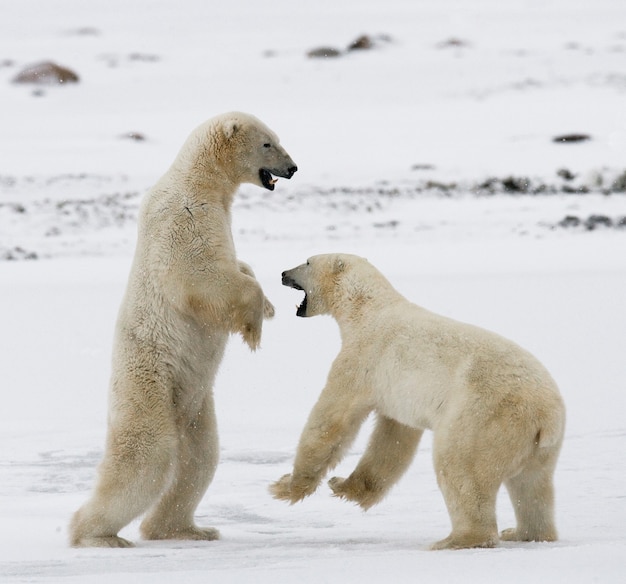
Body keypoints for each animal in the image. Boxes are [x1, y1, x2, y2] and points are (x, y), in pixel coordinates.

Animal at [72, 113, 296, 548]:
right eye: (268, 144)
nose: (293, 168)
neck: (197, 178)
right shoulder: (185, 215)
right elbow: (200, 273)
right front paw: (254, 325)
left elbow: (238, 266)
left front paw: (269, 305)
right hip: (151, 381)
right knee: (147, 454)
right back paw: (97, 535)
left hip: (193, 400)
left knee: (200, 456)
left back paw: (186, 528)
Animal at [270, 253, 564, 548]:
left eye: (307, 262)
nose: (283, 273)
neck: (365, 308)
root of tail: (546, 416)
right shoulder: (395, 392)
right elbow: (394, 438)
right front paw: (343, 485)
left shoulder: (362, 358)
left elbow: (331, 419)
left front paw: (286, 486)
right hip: (539, 447)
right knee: (532, 487)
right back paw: (525, 533)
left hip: (486, 416)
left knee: (460, 466)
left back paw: (456, 540)